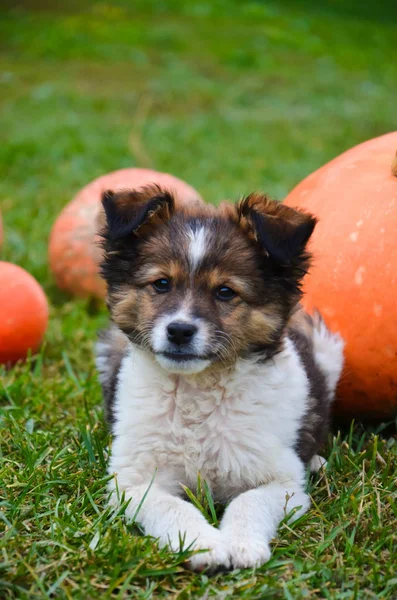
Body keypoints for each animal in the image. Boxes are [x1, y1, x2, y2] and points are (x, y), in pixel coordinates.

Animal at [96, 188, 344, 572]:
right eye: (162, 283)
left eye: (225, 292)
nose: (179, 331)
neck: (197, 389)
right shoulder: (133, 482)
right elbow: (172, 506)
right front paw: (202, 544)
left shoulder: (282, 482)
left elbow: (249, 501)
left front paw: (242, 544)